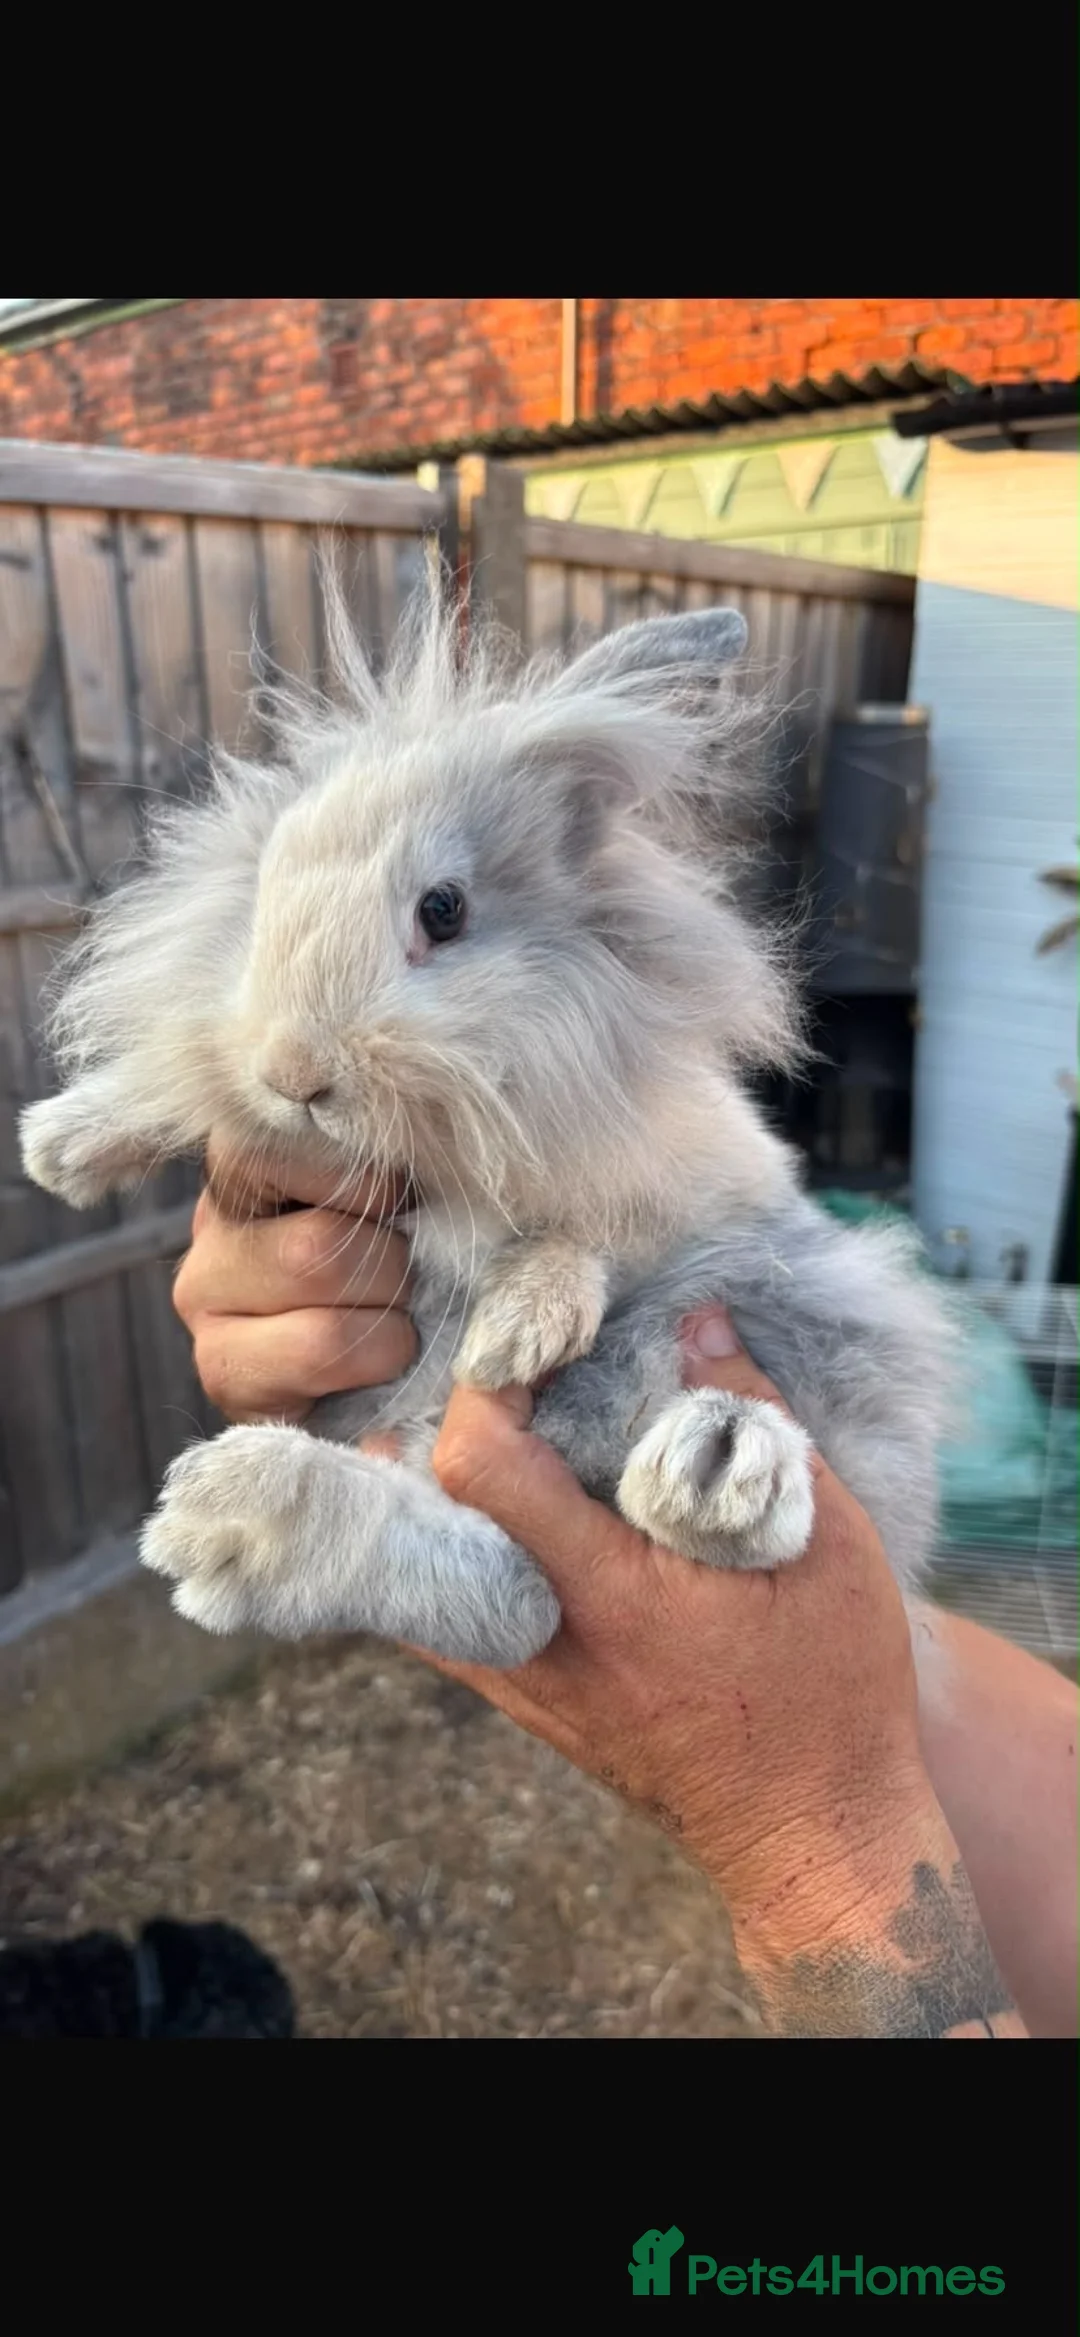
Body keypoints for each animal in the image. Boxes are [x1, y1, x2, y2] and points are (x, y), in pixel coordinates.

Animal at [18, 568, 956, 1669]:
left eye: (444, 909)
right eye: (262, 897)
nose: (295, 1069)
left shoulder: (664, 1176)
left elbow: (580, 1236)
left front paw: (517, 1327)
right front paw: (60, 1146)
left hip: (802, 1312)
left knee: (531, 1591)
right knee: (521, 1593)